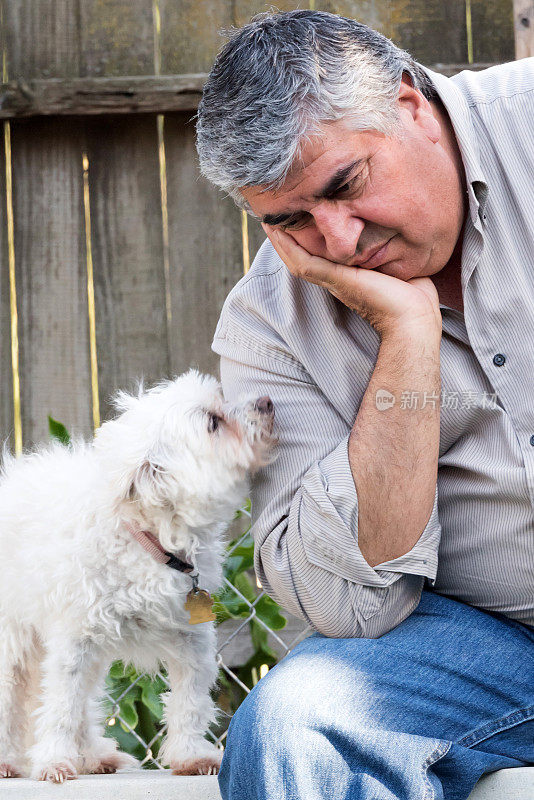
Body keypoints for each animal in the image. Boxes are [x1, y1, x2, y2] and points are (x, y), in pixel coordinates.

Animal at [0, 372, 276, 784]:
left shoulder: (192, 639)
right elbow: (61, 707)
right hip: (13, 641)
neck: (151, 540)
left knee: (85, 705)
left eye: (221, 399)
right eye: (213, 423)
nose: (267, 402)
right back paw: (9, 760)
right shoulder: (73, 644)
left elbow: (190, 702)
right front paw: (53, 762)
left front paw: (191, 756)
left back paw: (95, 756)